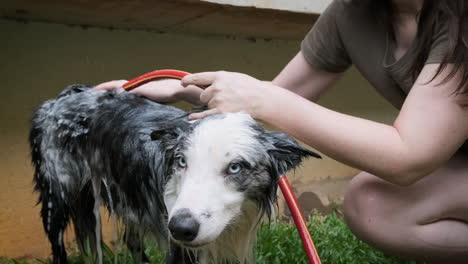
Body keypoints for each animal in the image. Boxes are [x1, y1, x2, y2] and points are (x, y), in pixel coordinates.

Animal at [29, 85, 318, 264]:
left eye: (235, 167)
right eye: (181, 162)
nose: (181, 228)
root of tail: (65, 95)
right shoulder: (180, 249)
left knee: (132, 242)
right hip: (56, 199)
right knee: (58, 249)